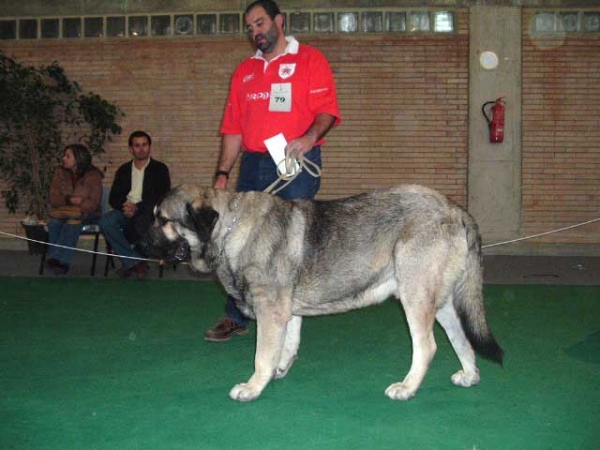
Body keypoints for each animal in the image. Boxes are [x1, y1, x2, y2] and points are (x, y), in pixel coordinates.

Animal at [148, 185, 504, 402]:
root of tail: (456, 210)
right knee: (462, 340)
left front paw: (252, 387)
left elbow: (262, 355)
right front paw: (278, 371)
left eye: (163, 220)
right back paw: (469, 375)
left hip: (415, 296)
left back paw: (407, 387)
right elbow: (287, 345)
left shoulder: (270, 311)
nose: (140, 240)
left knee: (427, 346)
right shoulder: (287, 312)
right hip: (439, 302)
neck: (229, 228)